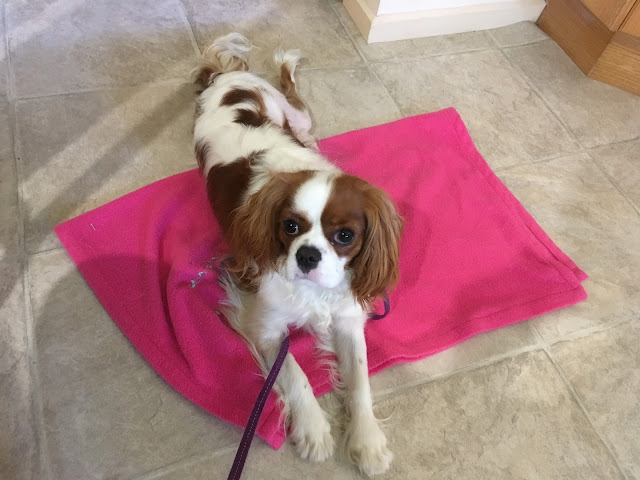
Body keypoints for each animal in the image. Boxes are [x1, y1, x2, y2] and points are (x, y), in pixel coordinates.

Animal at [191, 33, 400, 476]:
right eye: (290, 227)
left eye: (344, 236)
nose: (307, 256)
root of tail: (224, 77)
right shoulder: (264, 325)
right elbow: (293, 372)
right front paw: (314, 429)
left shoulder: (347, 318)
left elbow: (360, 380)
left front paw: (367, 440)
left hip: (296, 116)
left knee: (294, 102)